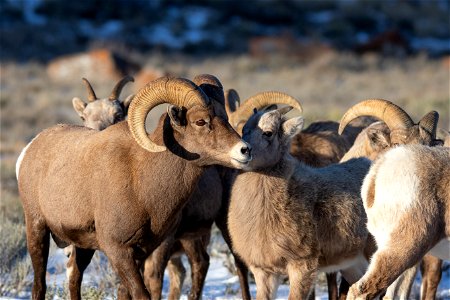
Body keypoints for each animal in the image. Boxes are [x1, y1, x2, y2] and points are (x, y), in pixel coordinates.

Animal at [15, 75, 251, 300]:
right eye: (200, 121)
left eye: (225, 118)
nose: (245, 150)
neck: (141, 183)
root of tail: (29, 149)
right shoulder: (118, 251)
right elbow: (141, 293)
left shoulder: (142, 251)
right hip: (37, 229)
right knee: (39, 285)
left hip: (83, 247)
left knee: (74, 280)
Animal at [227, 106, 370, 298]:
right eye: (244, 130)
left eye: (268, 133)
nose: (244, 151)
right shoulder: (264, 273)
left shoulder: (302, 267)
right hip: (352, 265)